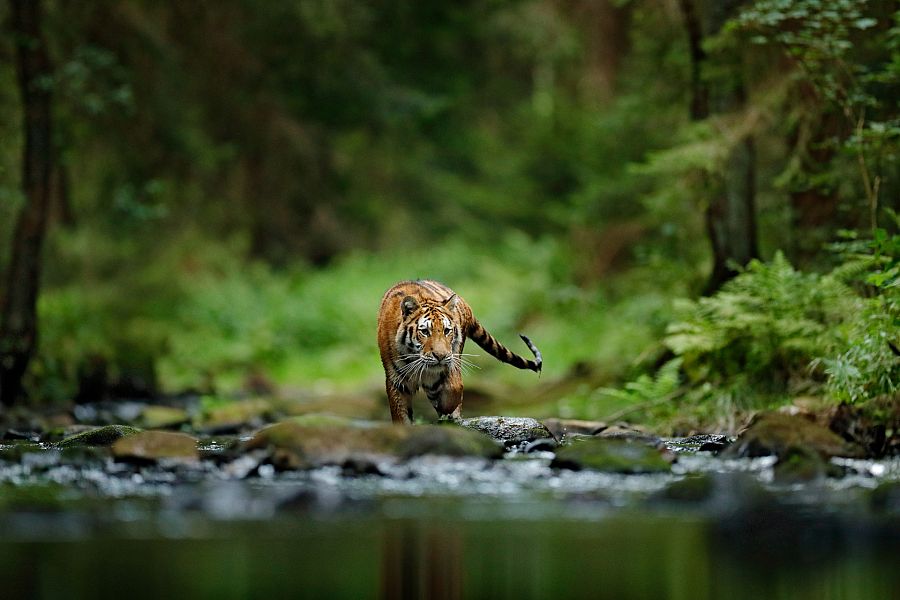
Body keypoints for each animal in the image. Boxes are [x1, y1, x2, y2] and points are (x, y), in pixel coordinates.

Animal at [377, 279, 542, 424]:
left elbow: (454, 389)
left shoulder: (448, 367)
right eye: (424, 332)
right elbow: (401, 416)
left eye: (447, 330)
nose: (440, 356)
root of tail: (464, 303)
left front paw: (447, 411)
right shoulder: (397, 382)